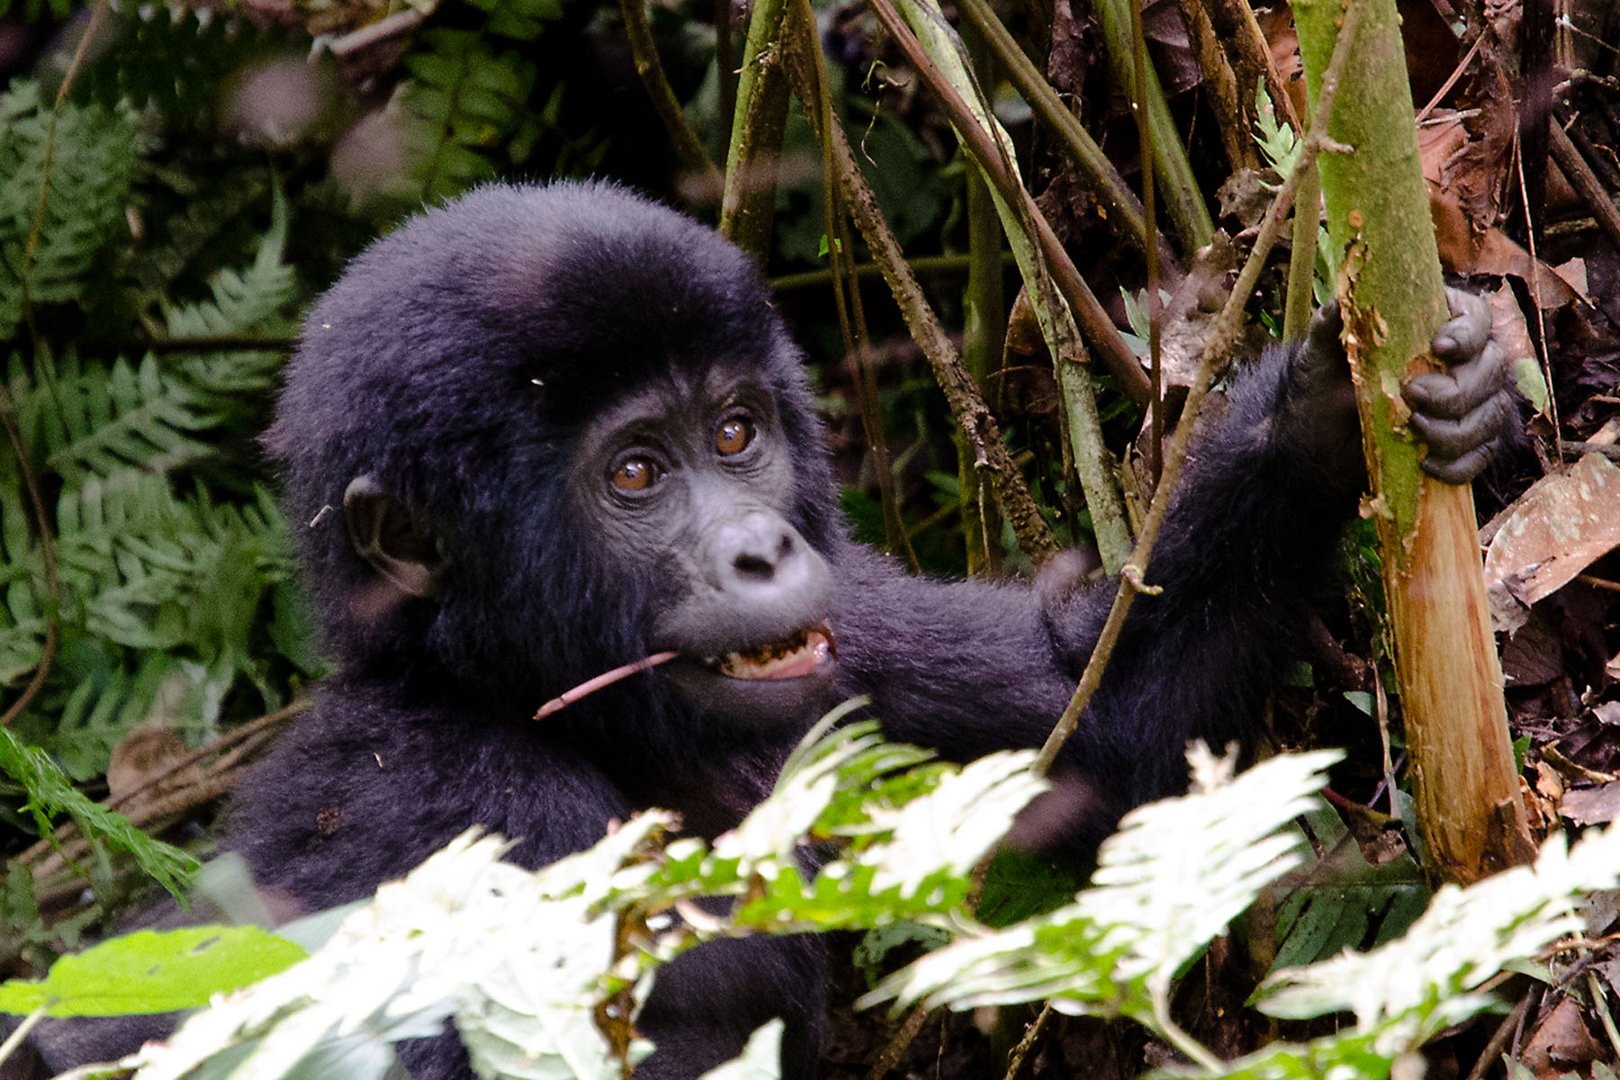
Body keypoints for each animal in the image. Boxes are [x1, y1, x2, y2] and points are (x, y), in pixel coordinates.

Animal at [19, 181, 1516, 1075]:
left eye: (736, 433)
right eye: (635, 473)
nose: (762, 548)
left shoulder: (846, 632)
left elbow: (1082, 720)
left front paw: (1325, 414)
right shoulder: (443, 809)